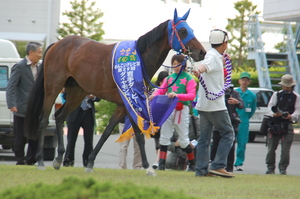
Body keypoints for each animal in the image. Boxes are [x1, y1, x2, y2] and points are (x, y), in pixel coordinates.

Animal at [24, 8, 206, 173]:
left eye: (191, 29)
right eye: (183, 31)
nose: (202, 52)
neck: (139, 61)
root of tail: (57, 44)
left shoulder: (123, 105)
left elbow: (107, 132)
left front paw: (90, 162)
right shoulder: (130, 102)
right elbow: (138, 134)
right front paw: (148, 167)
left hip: (77, 93)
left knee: (60, 117)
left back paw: (58, 159)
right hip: (53, 87)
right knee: (44, 119)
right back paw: (41, 161)